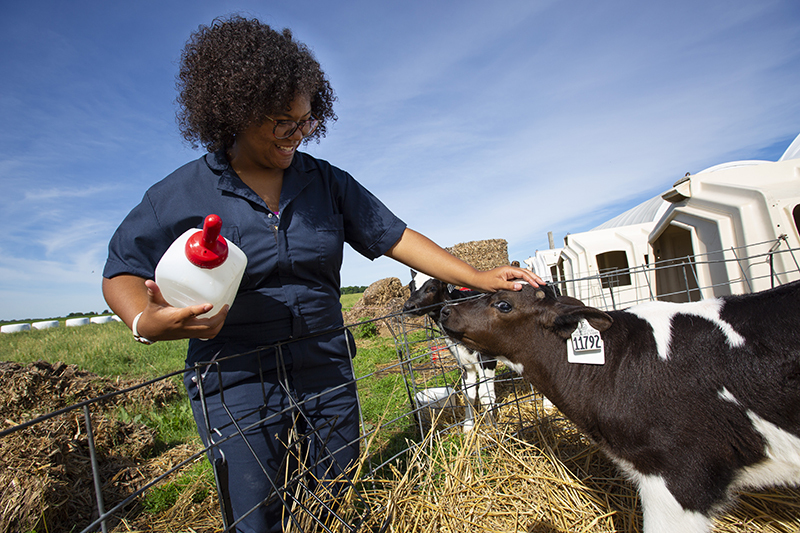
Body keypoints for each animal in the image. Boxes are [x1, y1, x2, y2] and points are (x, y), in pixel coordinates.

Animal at [404, 272, 496, 430]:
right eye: (411, 287)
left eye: (432, 288)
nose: (409, 306)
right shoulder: (464, 364)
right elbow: (469, 393)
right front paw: (468, 426)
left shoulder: (487, 359)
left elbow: (486, 395)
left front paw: (493, 429)